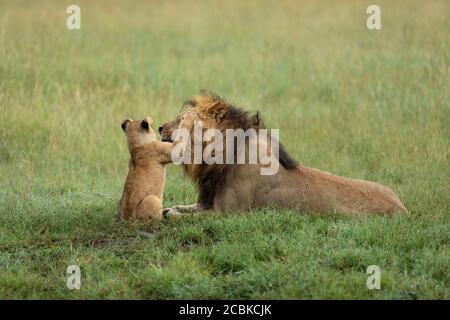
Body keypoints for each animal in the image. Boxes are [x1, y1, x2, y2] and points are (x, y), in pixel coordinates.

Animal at [159, 90, 408, 215]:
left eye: (181, 120)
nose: (160, 127)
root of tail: (402, 210)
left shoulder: (225, 214)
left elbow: (180, 217)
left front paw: (172, 214)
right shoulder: (207, 203)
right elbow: (177, 208)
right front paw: (168, 209)